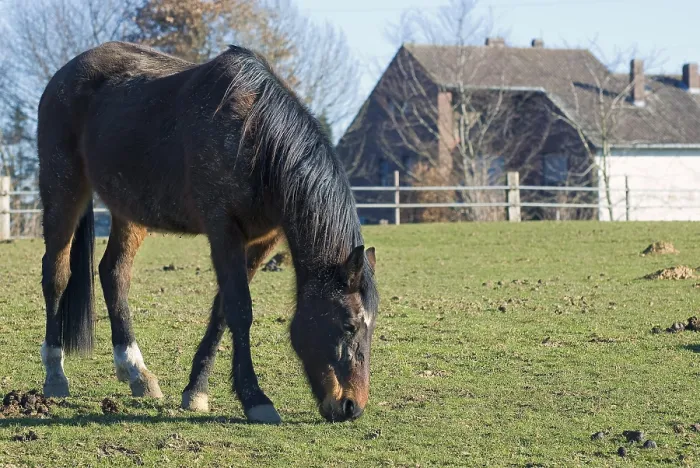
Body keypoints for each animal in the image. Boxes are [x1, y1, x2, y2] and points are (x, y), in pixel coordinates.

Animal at [37, 41, 379, 424]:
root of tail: (63, 74)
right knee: (56, 275)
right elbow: (240, 309)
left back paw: (136, 372)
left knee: (114, 273)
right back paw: (55, 374)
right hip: (63, 190)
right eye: (349, 325)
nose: (351, 406)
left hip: (128, 210)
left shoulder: (262, 240)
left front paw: (196, 389)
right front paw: (255, 398)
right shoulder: (223, 229)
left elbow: (221, 311)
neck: (257, 138)